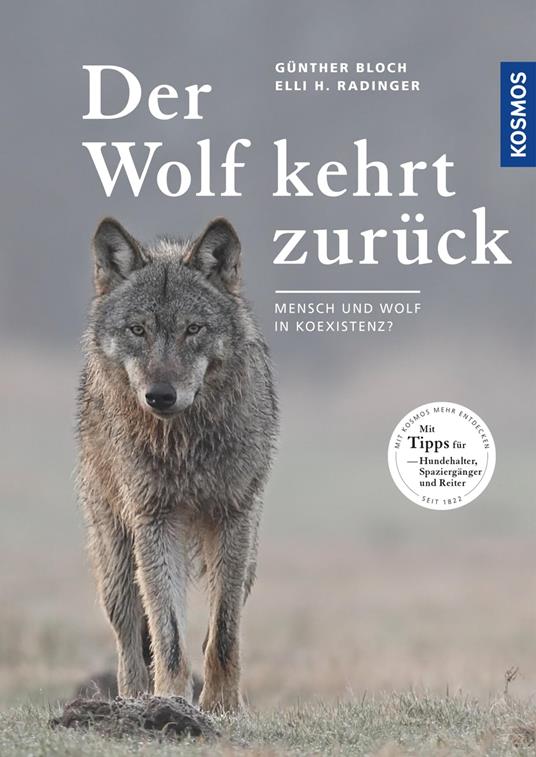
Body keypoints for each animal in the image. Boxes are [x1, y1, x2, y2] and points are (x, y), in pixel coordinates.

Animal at [77, 216, 278, 712]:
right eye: (138, 330)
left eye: (193, 329)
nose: (161, 396)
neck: (185, 447)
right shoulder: (155, 520)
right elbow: (167, 633)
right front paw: (170, 701)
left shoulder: (234, 518)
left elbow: (223, 632)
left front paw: (222, 705)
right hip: (116, 560)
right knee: (130, 640)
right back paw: (131, 702)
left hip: (249, 558)